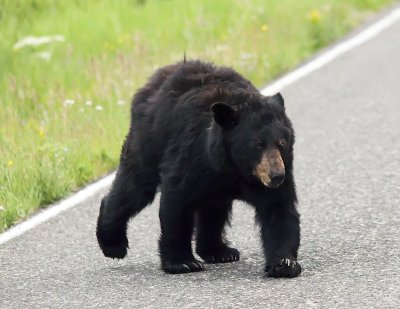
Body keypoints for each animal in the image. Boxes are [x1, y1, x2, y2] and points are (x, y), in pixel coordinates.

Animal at [97, 59, 302, 276]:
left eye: (282, 143)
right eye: (257, 145)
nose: (276, 175)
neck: (233, 168)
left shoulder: (278, 168)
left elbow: (277, 208)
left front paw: (284, 263)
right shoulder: (192, 158)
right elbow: (178, 202)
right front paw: (183, 262)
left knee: (213, 209)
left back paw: (220, 251)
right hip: (149, 138)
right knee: (134, 186)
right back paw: (113, 244)